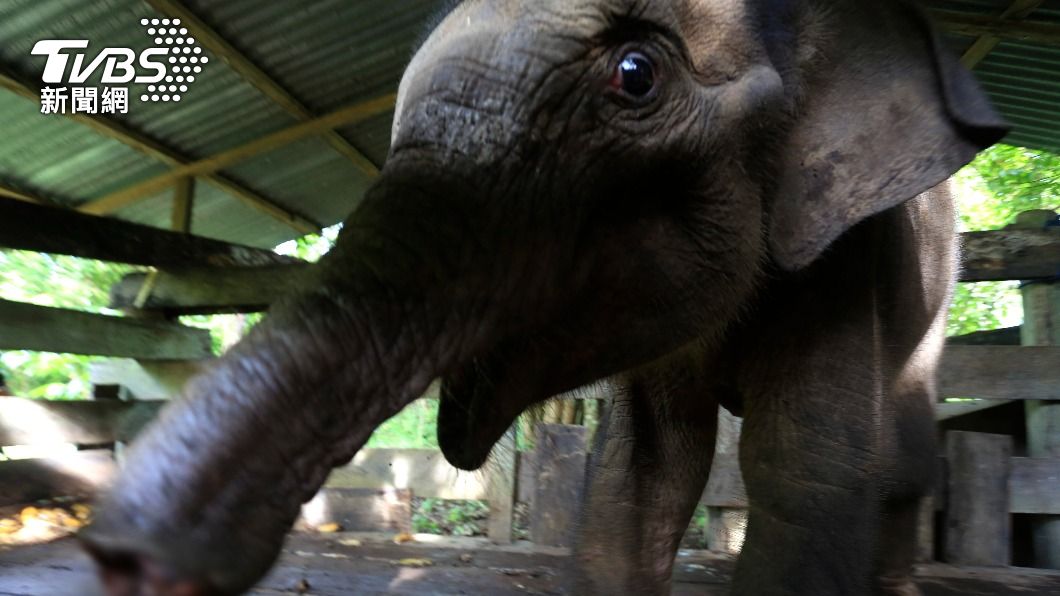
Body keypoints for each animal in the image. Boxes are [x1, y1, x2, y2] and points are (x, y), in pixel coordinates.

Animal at [81, 0, 1007, 594]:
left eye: (635, 74)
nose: (125, 559)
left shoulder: (845, 246)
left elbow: (808, 467)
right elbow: (641, 470)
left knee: (904, 450)